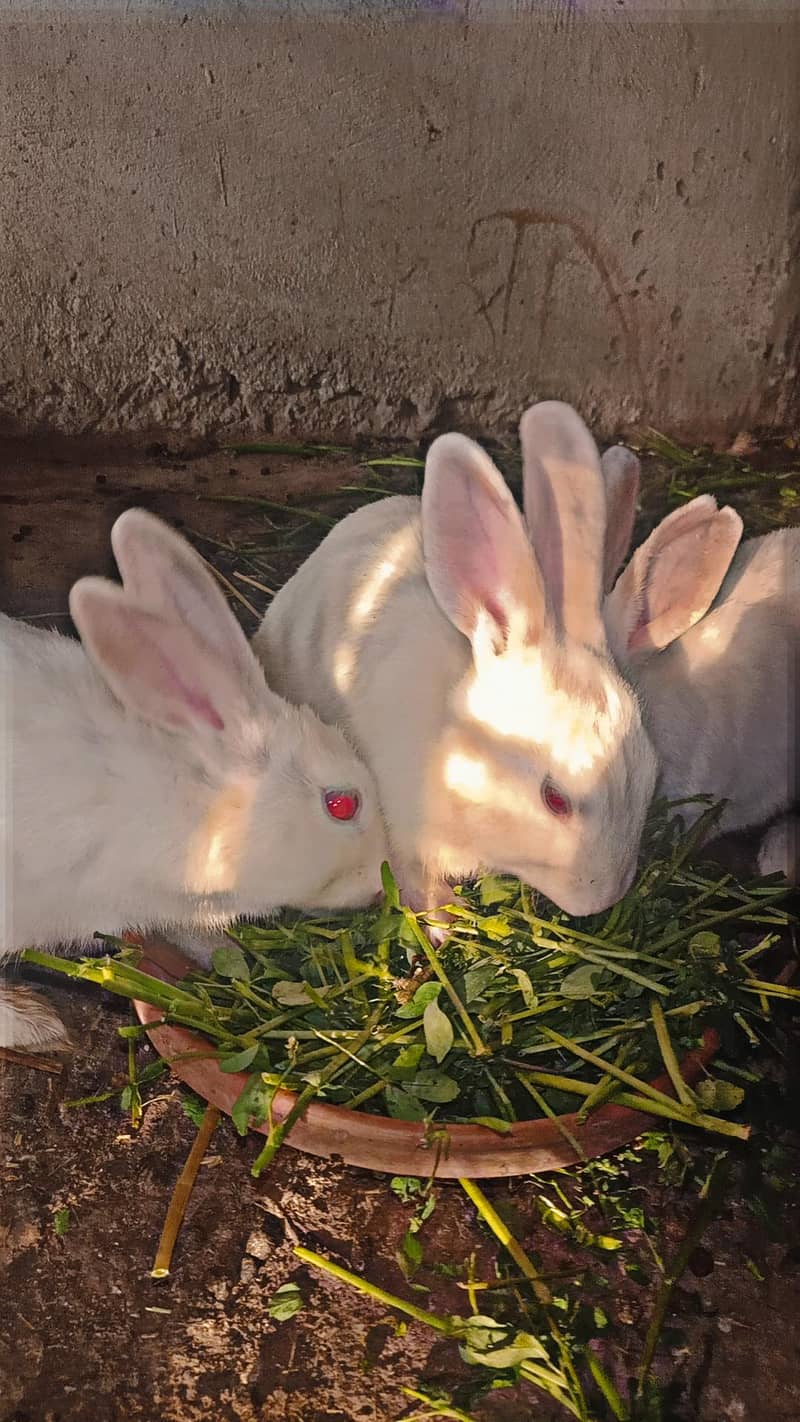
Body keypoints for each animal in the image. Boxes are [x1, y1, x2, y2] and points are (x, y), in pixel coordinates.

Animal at [253, 401, 660, 924]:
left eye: (652, 774)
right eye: (555, 798)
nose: (603, 899)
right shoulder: (399, 821)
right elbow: (411, 876)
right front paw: (443, 921)